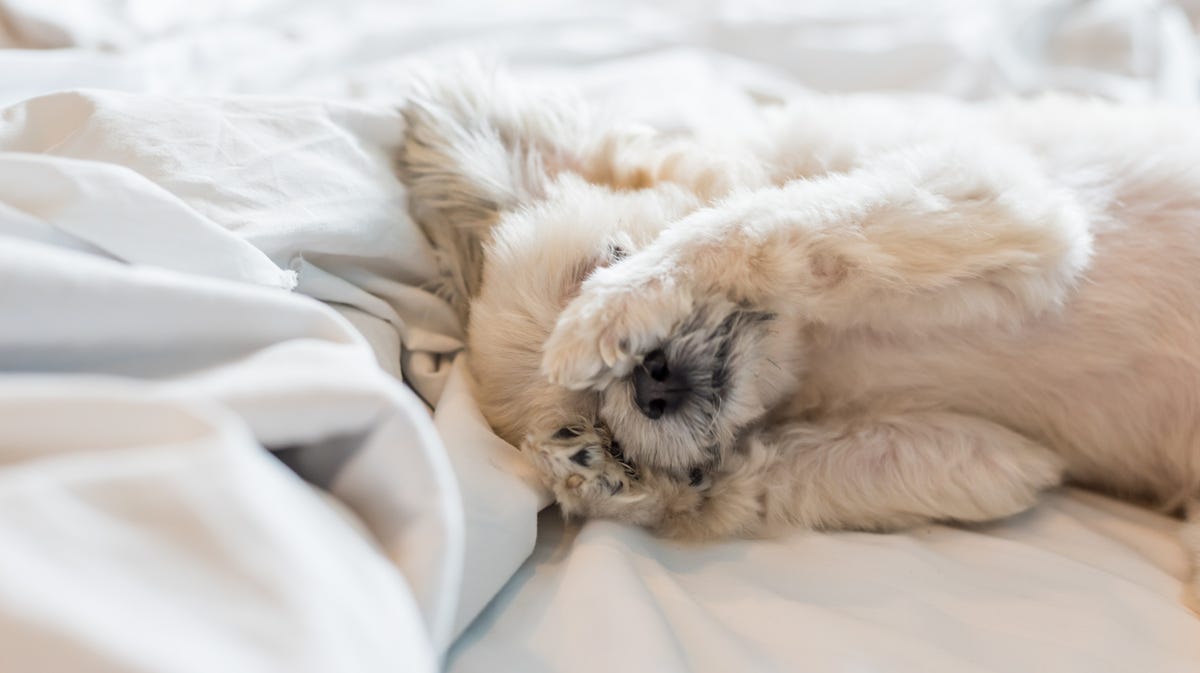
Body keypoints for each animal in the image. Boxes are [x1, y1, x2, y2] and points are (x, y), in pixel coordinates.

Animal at [398, 68, 1200, 599]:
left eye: (611, 256)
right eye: (613, 437)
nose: (648, 382)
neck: (810, 348)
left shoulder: (994, 193)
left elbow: (767, 215)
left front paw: (619, 306)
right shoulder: (989, 460)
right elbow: (755, 478)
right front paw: (607, 483)